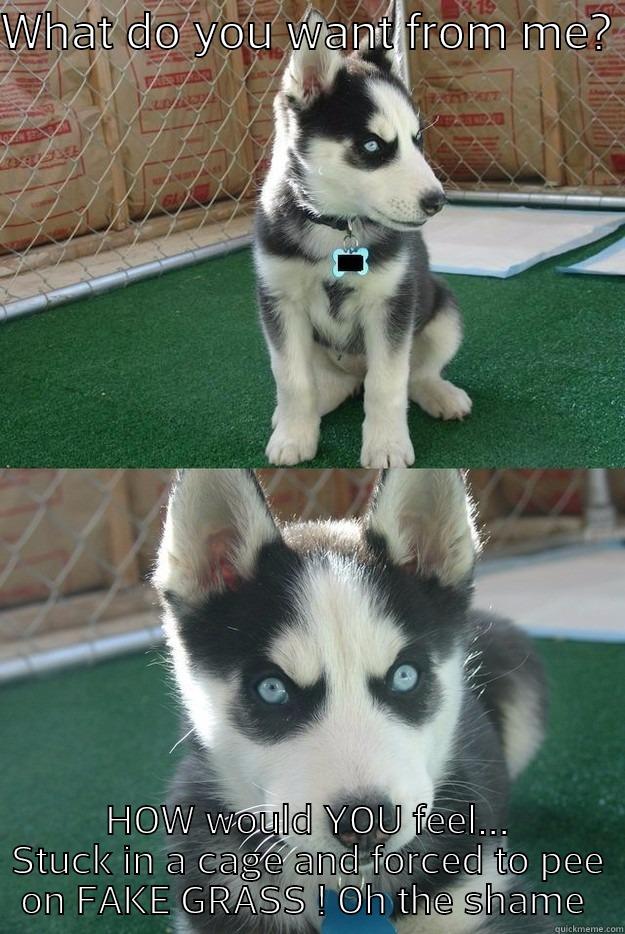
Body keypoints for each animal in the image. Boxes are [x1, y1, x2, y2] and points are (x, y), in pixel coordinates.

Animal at [252, 11, 468, 468]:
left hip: (443, 311)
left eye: (417, 140)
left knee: (413, 375)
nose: (437, 202)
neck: (337, 225)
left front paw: (386, 445)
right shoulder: (280, 301)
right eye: (371, 145)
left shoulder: (391, 304)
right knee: (329, 385)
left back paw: (439, 393)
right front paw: (294, 436)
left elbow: (387, 384)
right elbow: (292, 379)